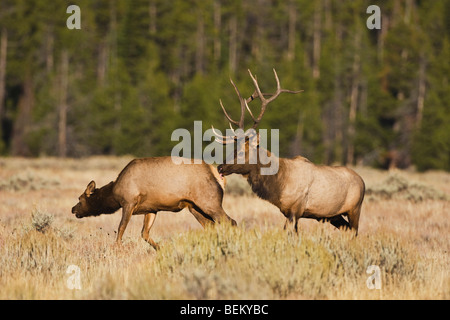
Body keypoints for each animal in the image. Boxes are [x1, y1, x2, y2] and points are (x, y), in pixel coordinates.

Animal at [71, 156, 236, 249]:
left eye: (80, 199)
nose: (73, 209)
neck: (113, 195)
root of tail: (220, 177)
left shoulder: (128, 202)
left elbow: (121, 229)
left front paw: (116, 248)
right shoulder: (151, 209)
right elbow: (144, 233)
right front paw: (161, 248)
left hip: (209, 202)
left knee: (231, 221)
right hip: (194, 207)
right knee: (210, 226)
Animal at [213, 69, 364, 234]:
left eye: (240, 152)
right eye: (233, 149)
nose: (220, 167)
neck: (279, 183)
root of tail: (362, 182)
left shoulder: (296, 210)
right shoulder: (288, 212)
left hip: (355, 209)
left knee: (354, 232)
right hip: (335, 216)